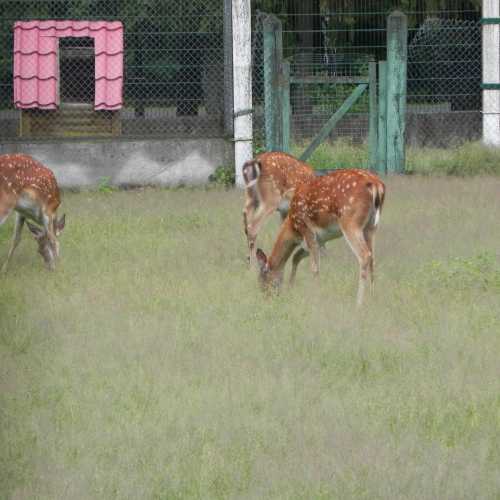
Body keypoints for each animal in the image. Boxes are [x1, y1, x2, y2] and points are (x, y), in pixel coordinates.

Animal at [256, 170, 384, 306]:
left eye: (262, 281)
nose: (268, 299)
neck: (293, 228)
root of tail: (377, 185)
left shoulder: (307, 230)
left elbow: (314, 268)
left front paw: (315, 296)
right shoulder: (320, 240)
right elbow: (296, 257)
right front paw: (291, 287)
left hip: (350, 222)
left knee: (365, 255)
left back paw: (358, 303)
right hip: (371, 227)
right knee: (373, 258)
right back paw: (372, 296)